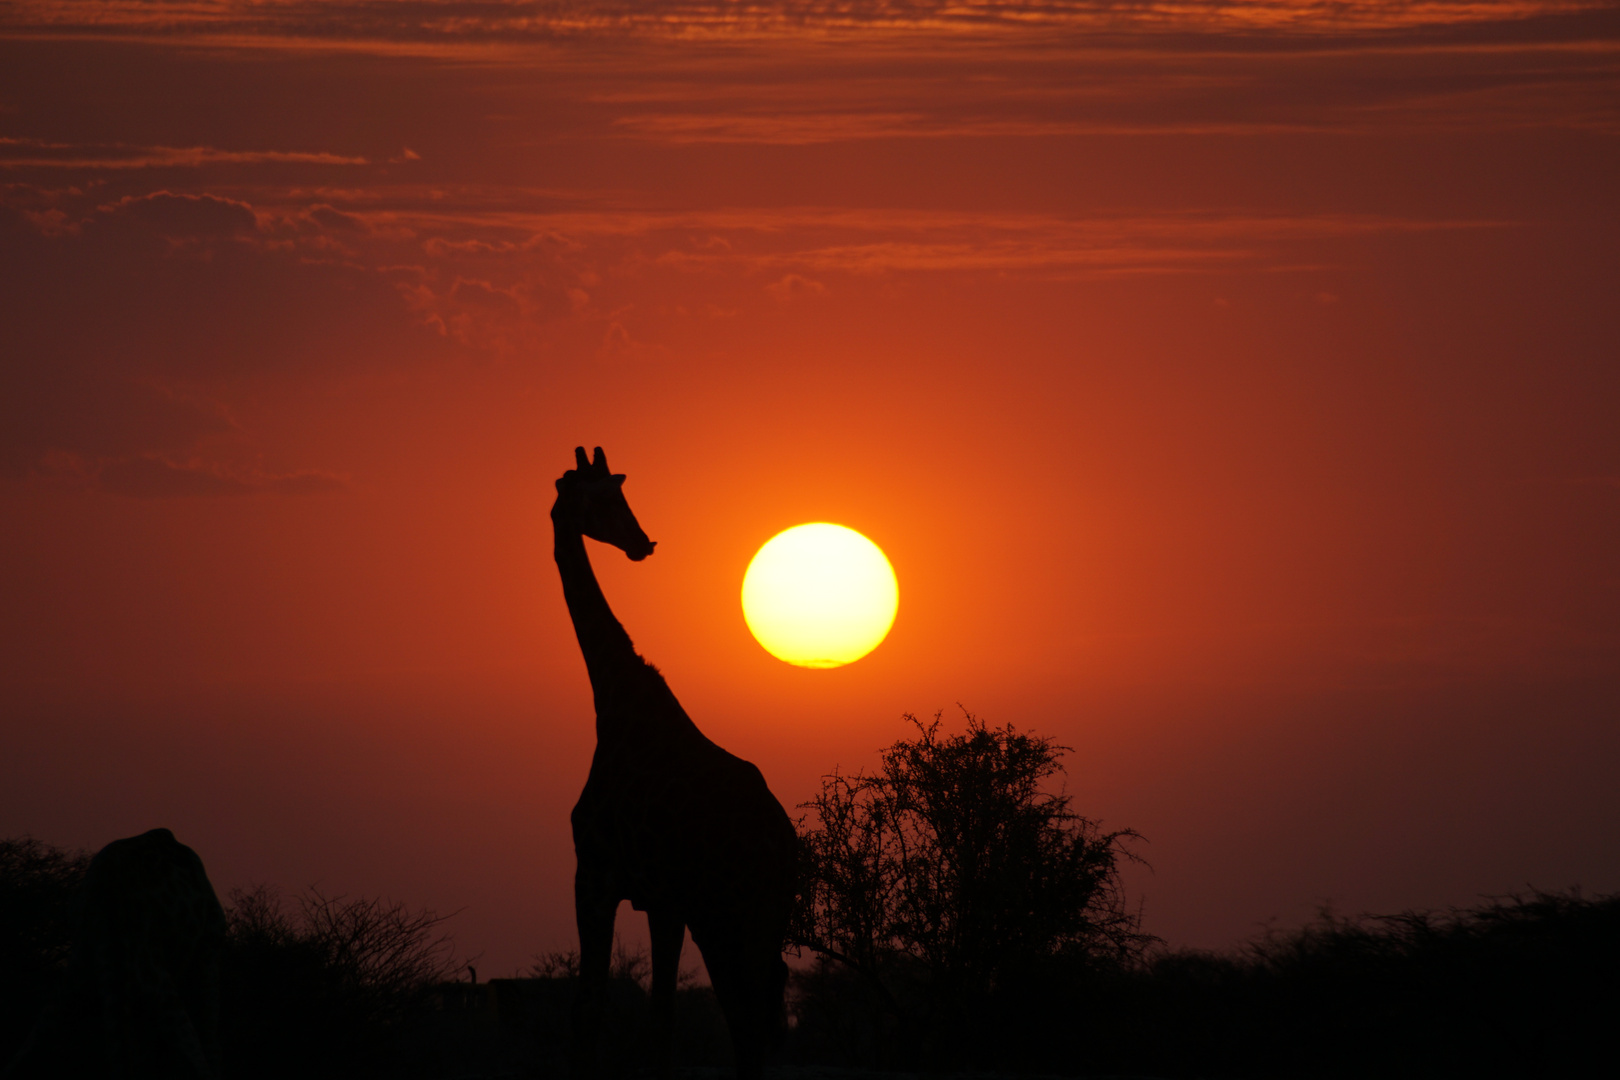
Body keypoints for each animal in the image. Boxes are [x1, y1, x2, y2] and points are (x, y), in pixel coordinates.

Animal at [554, 443, 800, 1075]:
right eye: (599, 499)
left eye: (618, 493)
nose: (642, 543)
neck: (613, 700)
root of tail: (782, 840)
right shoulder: (662, 900)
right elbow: (659, 1022)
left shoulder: (594, 872)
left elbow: (587, 1007)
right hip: (763, 914)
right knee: (757, 1026)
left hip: (724, 911)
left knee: (745, 1023)